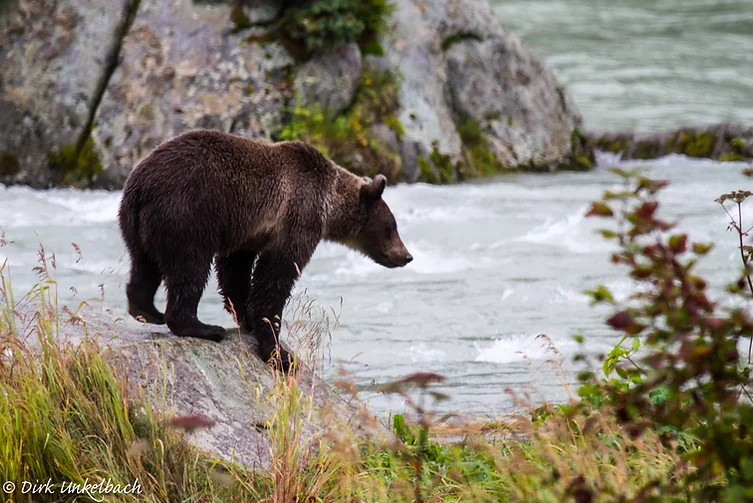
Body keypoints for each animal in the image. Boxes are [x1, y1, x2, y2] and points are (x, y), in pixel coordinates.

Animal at [119, 130, 412, 370]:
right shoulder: (298, 216)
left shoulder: (248, 232)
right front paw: (279, 353)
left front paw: (246, 318)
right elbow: (275, 276)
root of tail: (142, 184)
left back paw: (148, 311)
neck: (329, 205)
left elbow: (235, 272)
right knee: (189, 268)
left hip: (138, 223)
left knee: (144, 265)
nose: (406, 256)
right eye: (392, 226)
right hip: (187, 213)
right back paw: (202, 327)